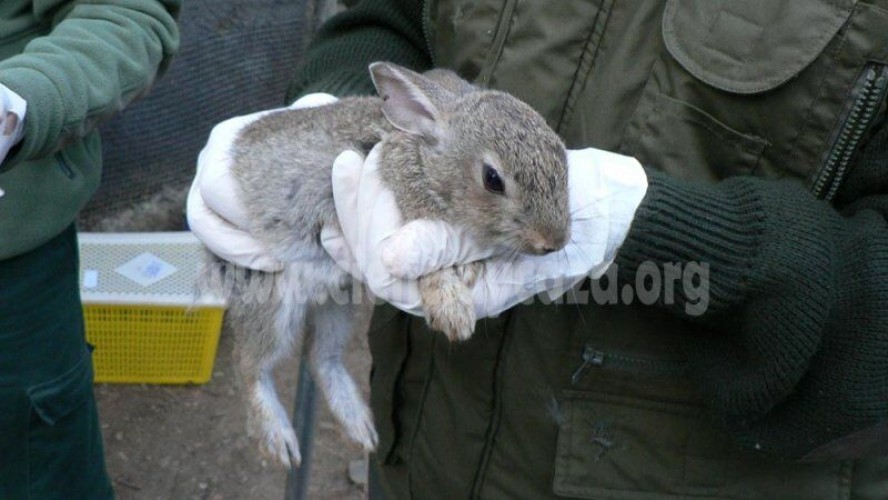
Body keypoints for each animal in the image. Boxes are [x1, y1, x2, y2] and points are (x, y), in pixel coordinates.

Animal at [203, 62, 568, 468]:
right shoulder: (410, 217)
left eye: (563, 160)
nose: (554, 241)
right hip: (270, 295)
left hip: (338, 303)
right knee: (250, 363)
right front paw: (453, 313)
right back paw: (278, 437)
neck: (428, 162)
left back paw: (358, 424)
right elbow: (432, 268)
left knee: (321, 356)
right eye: (493, 179)